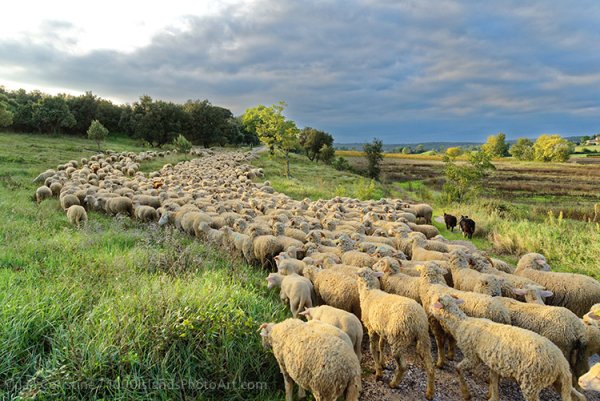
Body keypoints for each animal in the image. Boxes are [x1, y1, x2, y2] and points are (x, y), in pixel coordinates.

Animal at [354, 266, 434, 396]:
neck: (368, 292)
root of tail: (417, 320)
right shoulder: (381, 329)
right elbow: (381, 346)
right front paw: (382, 363)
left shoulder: (372, 329)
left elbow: (373, 349)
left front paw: (378, 372)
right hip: (424, 338)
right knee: (430, 366)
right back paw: (430, 392)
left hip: (398, 338)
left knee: (402, 366)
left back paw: (393, 384)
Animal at [432, 294, 584, 400]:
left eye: (437, 302)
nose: (429, 308)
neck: (461, 323)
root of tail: (561, 364)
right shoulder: (494, 364)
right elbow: (493, 382)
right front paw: (491, 396)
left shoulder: (472, 356)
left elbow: (458, 369)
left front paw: (466, 394)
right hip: (558, 382)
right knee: (578, 396)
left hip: (531, 383)